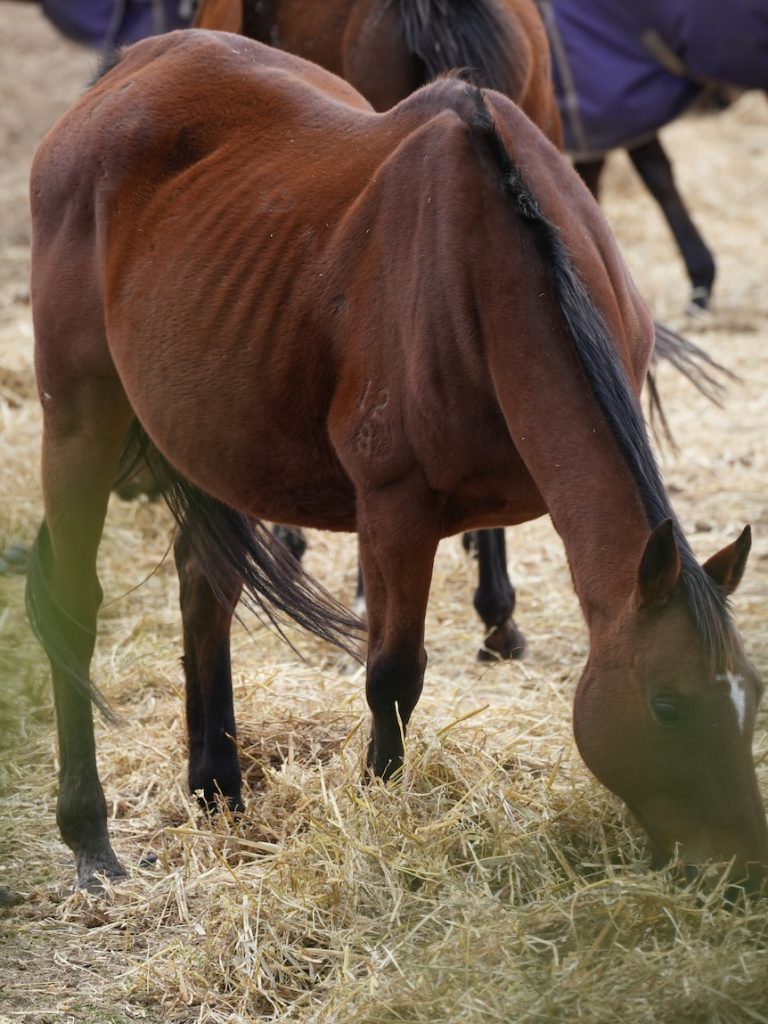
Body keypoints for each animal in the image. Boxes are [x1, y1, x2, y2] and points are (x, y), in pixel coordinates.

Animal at [27, 30, 767, 891]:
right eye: (667, 706)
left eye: (752, 697)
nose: (739, 867)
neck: (497, 269)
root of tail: (124, 72)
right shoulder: (395, 512)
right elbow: (393, 675)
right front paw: (383, 818)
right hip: (79, 415)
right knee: (72, 603)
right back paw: (90, 836)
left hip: (217, 432)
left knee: (206, 585)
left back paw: (219, 789)